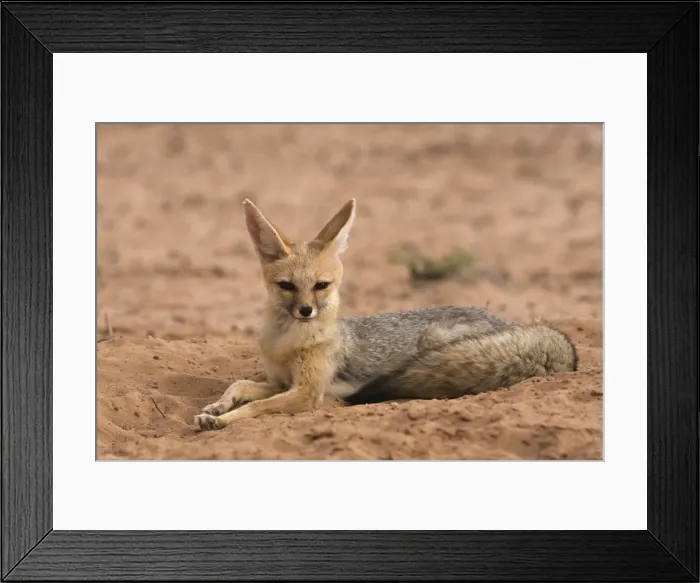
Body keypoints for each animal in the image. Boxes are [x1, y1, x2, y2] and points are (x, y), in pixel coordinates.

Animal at [193, 198, 578, 431]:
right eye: (286, 285)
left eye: (321, 285)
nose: (305, 311)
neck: (286, 342)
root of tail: (516, 326)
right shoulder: (280, 382)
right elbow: (239, 384)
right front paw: (216, 407)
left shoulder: (306, 393)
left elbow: (256, 408)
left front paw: (225, 420)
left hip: (436, 341)